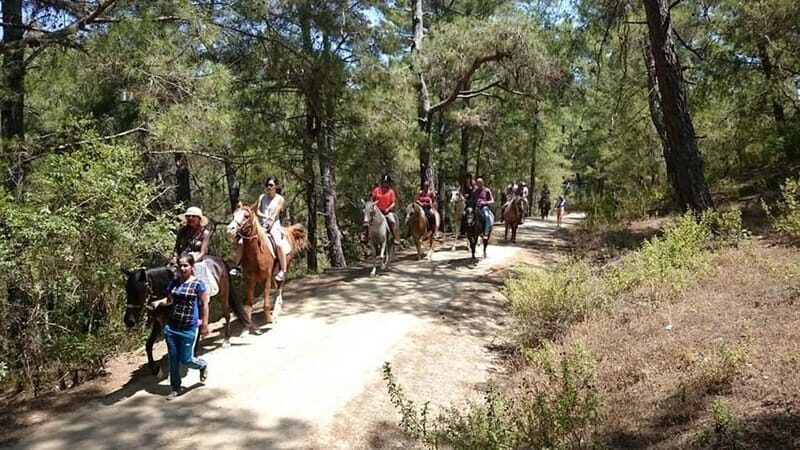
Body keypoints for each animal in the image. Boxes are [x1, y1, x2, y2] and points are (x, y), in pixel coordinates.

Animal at [122, 256, 254, 376]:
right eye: (127, 290)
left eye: (140, 291)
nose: (129, 321)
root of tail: (218, 260)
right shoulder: (159, 322)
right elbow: (149, 344)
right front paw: (155, 369)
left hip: (223, 295)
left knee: (226, 315)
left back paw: (226, 341)